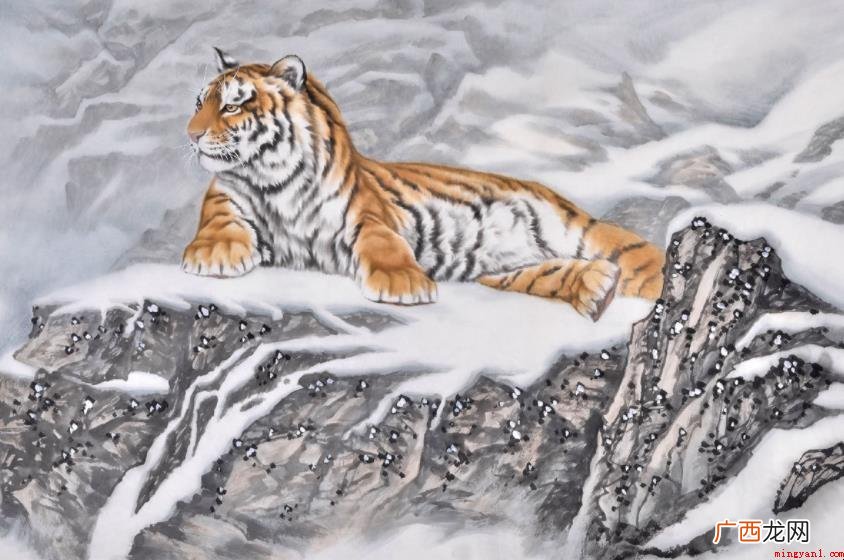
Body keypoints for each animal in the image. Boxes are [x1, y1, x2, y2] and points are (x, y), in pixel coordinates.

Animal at [182, 48, 665, 320]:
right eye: (198, 102)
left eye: (231, 106)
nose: (191, 134)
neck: (272, 181)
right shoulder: (225, 198)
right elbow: (219, 220)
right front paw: (213, 255)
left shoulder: (367, 215)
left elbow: (382, 243)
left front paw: (403, 284)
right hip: (506, 272)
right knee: (553, 274)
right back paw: (596, 289)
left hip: (581, 230)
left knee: (643, 259)